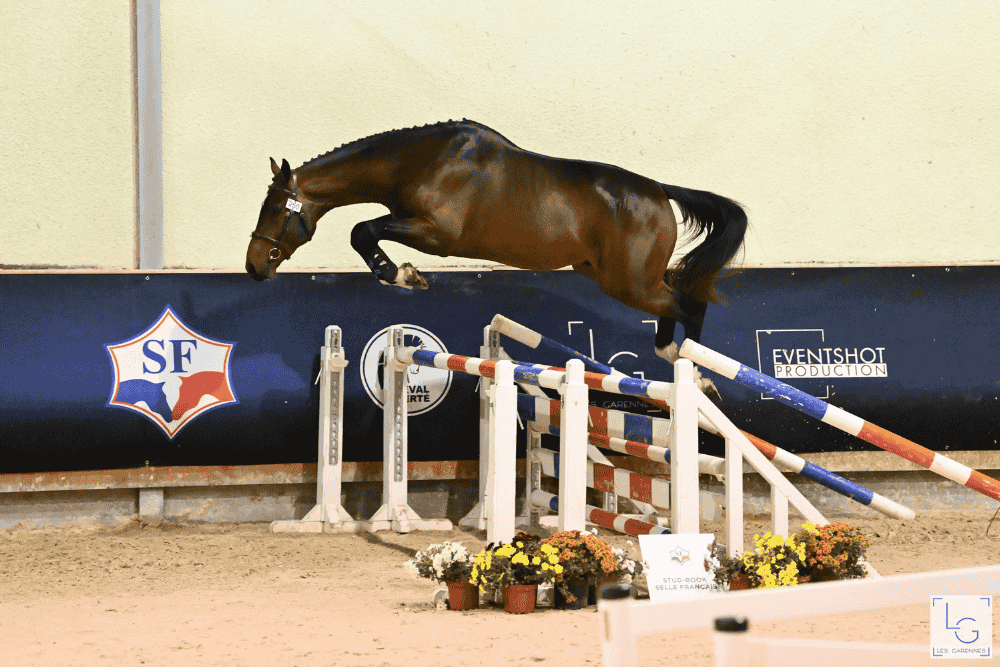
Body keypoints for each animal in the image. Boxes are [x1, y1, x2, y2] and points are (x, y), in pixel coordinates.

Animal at [246, 120, 747, 397]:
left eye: (276, 208)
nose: (253, 266)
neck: (420, 161)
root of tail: (660, 191)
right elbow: (364, 230)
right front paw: (402, 275)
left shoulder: (436, 233)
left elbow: (362, 230)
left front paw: (403, 276)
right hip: (622, 277)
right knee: (678, 300)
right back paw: (680, 362)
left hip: (629, 283)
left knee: (688, 306)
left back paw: (697, 374)